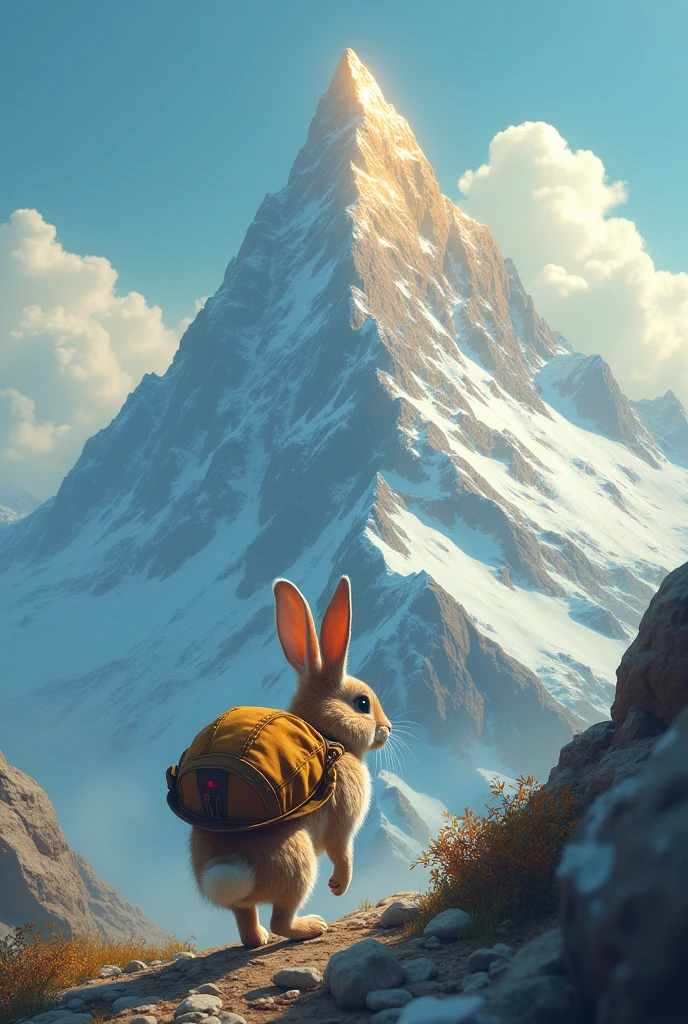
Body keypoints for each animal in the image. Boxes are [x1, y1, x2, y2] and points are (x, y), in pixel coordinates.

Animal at [189, 575, 392, 947]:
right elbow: (344, 854)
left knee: (246, 920)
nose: (388, 728)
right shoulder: (343, 824)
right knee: (281, 919)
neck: (332, 737)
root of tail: (232, 869)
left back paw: (260, 938)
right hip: (299, 863)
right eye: (362, 704)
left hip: (256, 893)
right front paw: (338, 887)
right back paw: (313, 926)